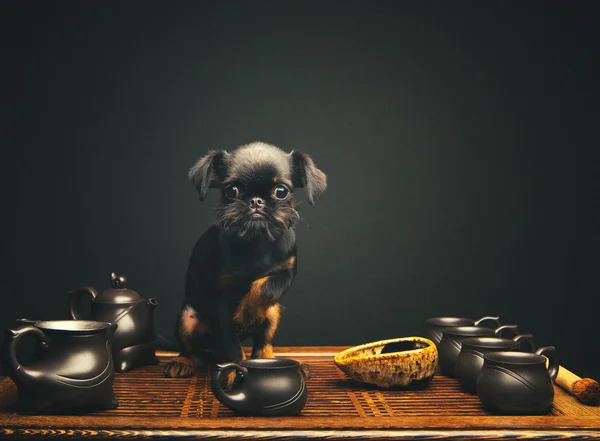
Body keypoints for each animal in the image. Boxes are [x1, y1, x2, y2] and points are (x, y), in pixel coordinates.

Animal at [164, 143, 326, 376]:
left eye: (281, 191)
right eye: (232, 190)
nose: (256, 201)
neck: (256, 240)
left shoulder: (286, 273)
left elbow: (265, 286)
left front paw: (248, 311)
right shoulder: (222, 304)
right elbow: (234, 351)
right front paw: (234, 374)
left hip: (273, 313)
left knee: (263, 345)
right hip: (187, 317)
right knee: (194, 352)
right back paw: (182, 362)